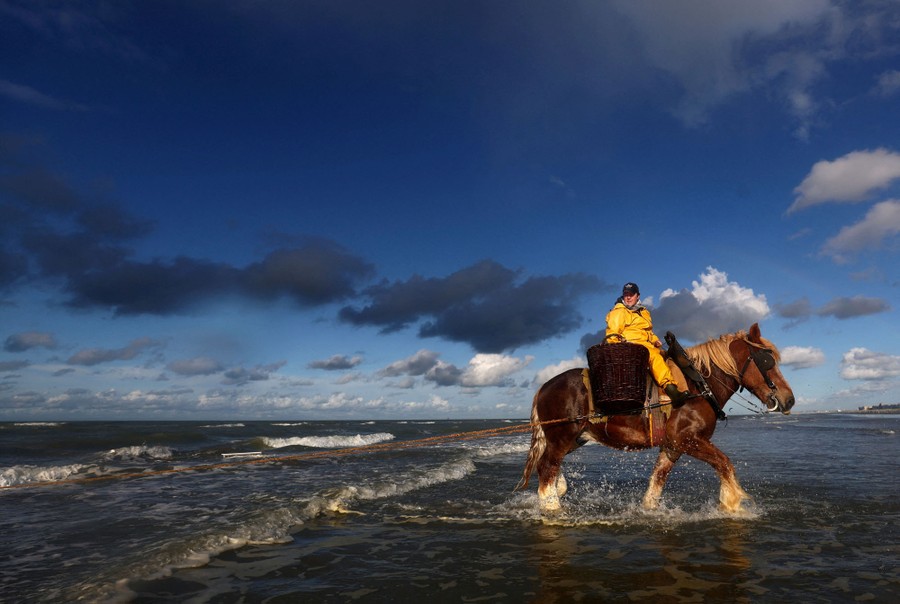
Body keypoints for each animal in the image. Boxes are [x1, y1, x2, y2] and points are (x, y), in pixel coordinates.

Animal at [516, 323, 795, 514]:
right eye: (767, 360)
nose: (789, 399)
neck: (698, 385)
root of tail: (544, 386)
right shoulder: (688, 439)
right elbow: (725, 464)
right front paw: (732, 504)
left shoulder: (672, 446)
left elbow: (657, 481)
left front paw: (649, 509)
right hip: (561, 438)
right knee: (546, 468)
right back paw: (552, 508)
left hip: (574, 438)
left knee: (549, 466)